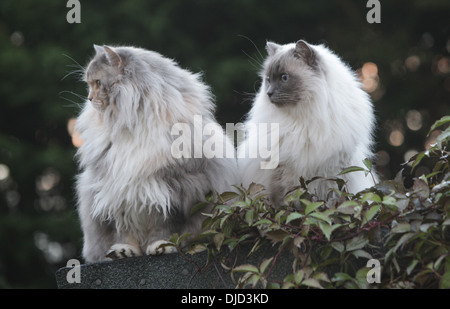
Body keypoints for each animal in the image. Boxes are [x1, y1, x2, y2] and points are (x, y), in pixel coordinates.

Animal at [76, 44, 239, 262]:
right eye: (89, 84)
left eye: (97, 83)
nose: (90, 98)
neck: (131, 123)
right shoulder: (116, 190)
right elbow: (123, 231)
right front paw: (124, 251)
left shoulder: (172, 188)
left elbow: (164, 228)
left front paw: (161, 246)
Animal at [237, 40, 378, 205]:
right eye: (268, 79)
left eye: (284, 78)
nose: (269, 93)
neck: (302, 120)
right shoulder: (282, 171)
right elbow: (283, 202)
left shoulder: (334, 171)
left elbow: (335, 199)